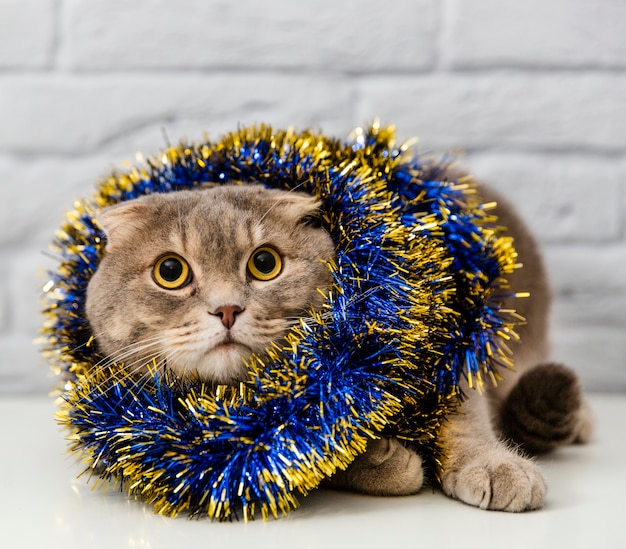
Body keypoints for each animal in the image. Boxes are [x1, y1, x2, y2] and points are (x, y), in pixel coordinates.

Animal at [85, 183, 592, 510]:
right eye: (170, 271)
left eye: (265, 263)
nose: (226, 309)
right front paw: (382, 461)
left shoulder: (444, 344)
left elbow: (465, 412)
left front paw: (496, 467)